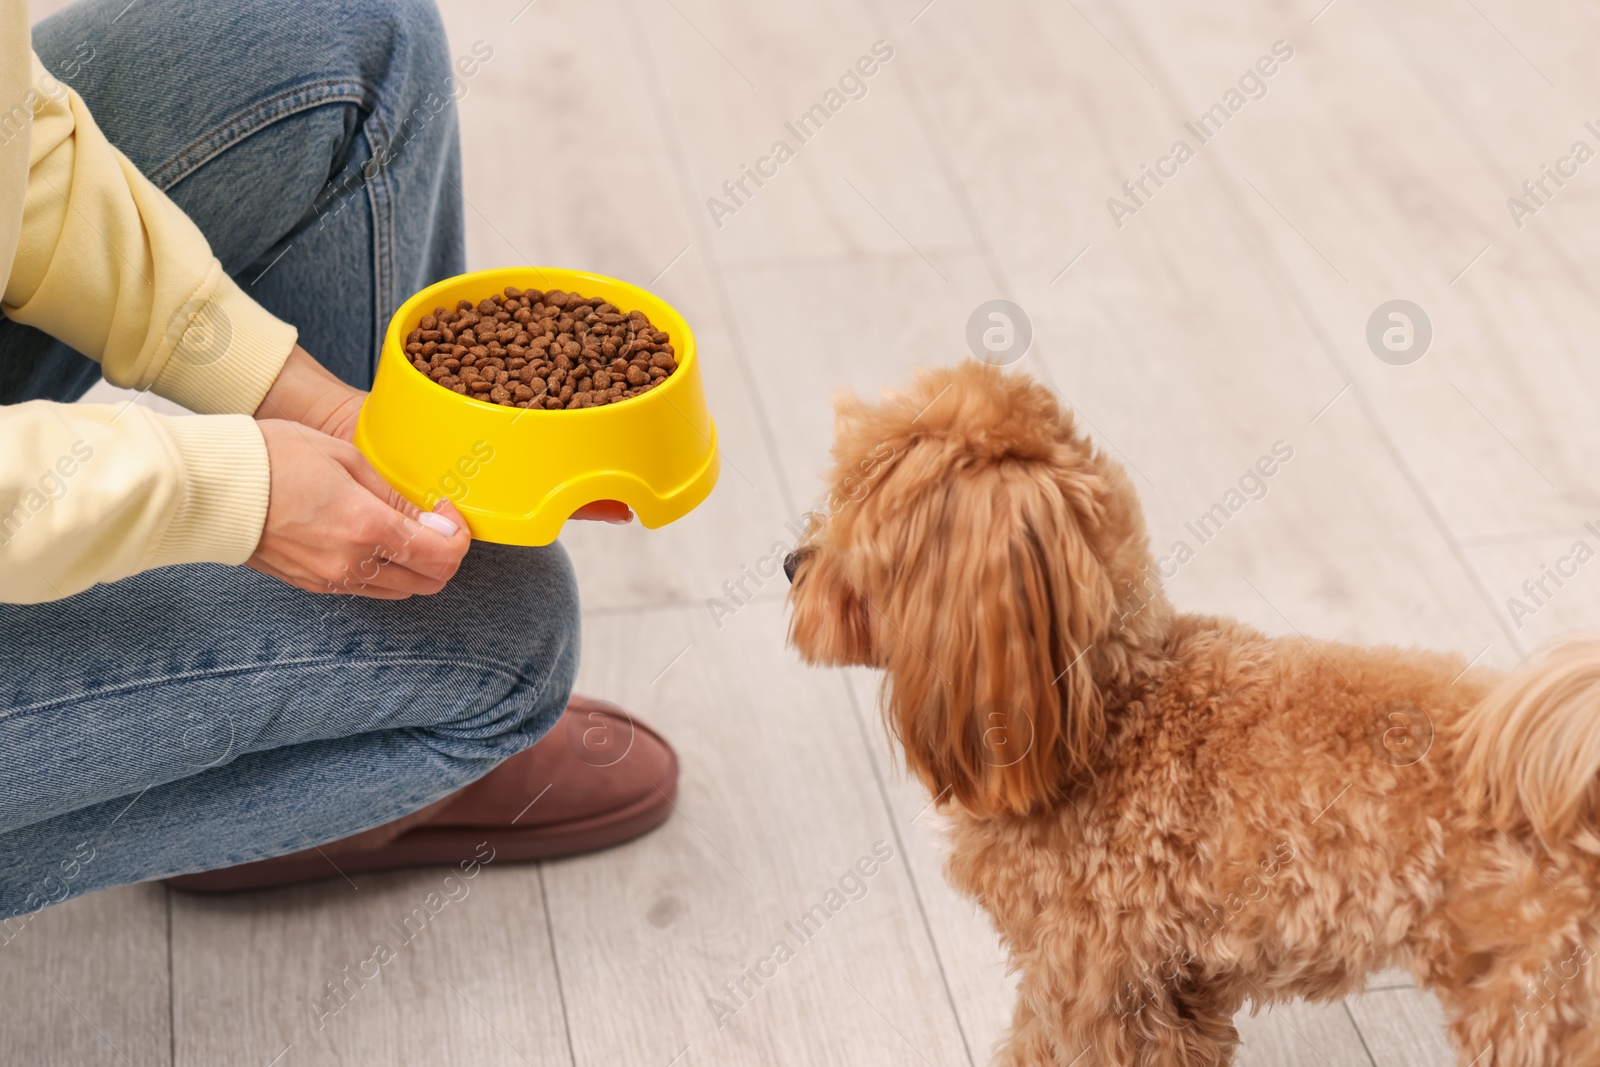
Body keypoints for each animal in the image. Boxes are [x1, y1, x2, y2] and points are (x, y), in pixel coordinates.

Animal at [780, 363, 1600, 1062]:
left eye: (858, 527)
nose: (790, 564)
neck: (1108, 717)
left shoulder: (1094, 983)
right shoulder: (1167, 992)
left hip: (1538, 1010)